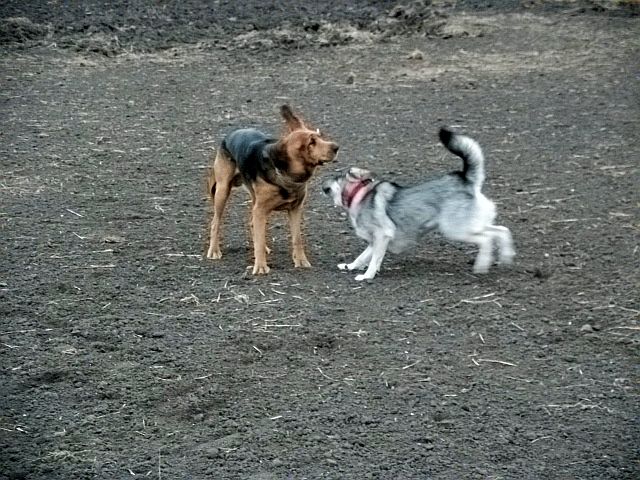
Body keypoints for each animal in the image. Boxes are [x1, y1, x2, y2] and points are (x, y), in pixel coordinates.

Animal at [209, 106, 340, 276]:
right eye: (311, 142)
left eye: (320, 136)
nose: (336, 147)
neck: (285, 174)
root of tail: (230, 135)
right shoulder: (260, 210)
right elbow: (260, 238)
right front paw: (260, 266)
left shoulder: (295, 209)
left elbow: (297, 238)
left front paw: (301, 261)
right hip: (223, 190)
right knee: (215, 222)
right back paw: (214, 250)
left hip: (253, 198)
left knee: (253, 225)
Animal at [324, 127, 516, 282]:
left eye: (335, 177)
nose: (322, 185)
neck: (359, 194)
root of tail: (466, 180)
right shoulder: (375, 241)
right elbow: (363, 257)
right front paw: (350, 266)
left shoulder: (382, 234)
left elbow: (373, 260)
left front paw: (366, 276)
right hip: (472, 224)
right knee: (501, 230)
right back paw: (507, 257)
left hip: (456, 229)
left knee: (486, 238)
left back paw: (482, 265)